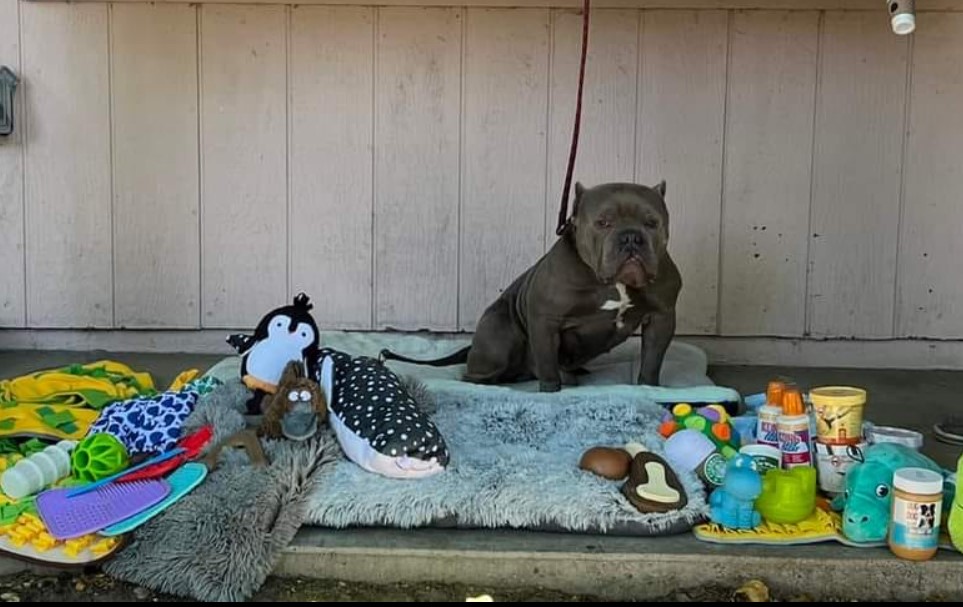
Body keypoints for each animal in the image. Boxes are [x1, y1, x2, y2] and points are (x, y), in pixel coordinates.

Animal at [380, 180, 680, 392]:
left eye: (652, 223)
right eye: (603, 223)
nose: (630, 237)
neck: (615, 282)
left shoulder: (662, 317)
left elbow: (652, 360)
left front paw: (649, 388)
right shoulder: (545, 319)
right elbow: (547, 363)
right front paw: (550, 389)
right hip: (500, 332)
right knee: (478, 372)